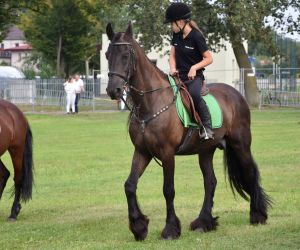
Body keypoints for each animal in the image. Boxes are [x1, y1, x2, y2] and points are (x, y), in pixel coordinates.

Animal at [105, 23, 270, 240]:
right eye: (107, 55)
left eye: (125, 55)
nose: (113, 90)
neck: (151, 102)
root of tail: (236, 94)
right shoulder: (142, 152)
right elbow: (129, 186)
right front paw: (139, 227)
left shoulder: (167, 153)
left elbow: (168, 190)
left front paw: (170, 229)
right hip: (206, 150)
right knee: (210, 182)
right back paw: (204, 222)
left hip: (240, 144)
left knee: (250, 173)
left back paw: (257, 215)